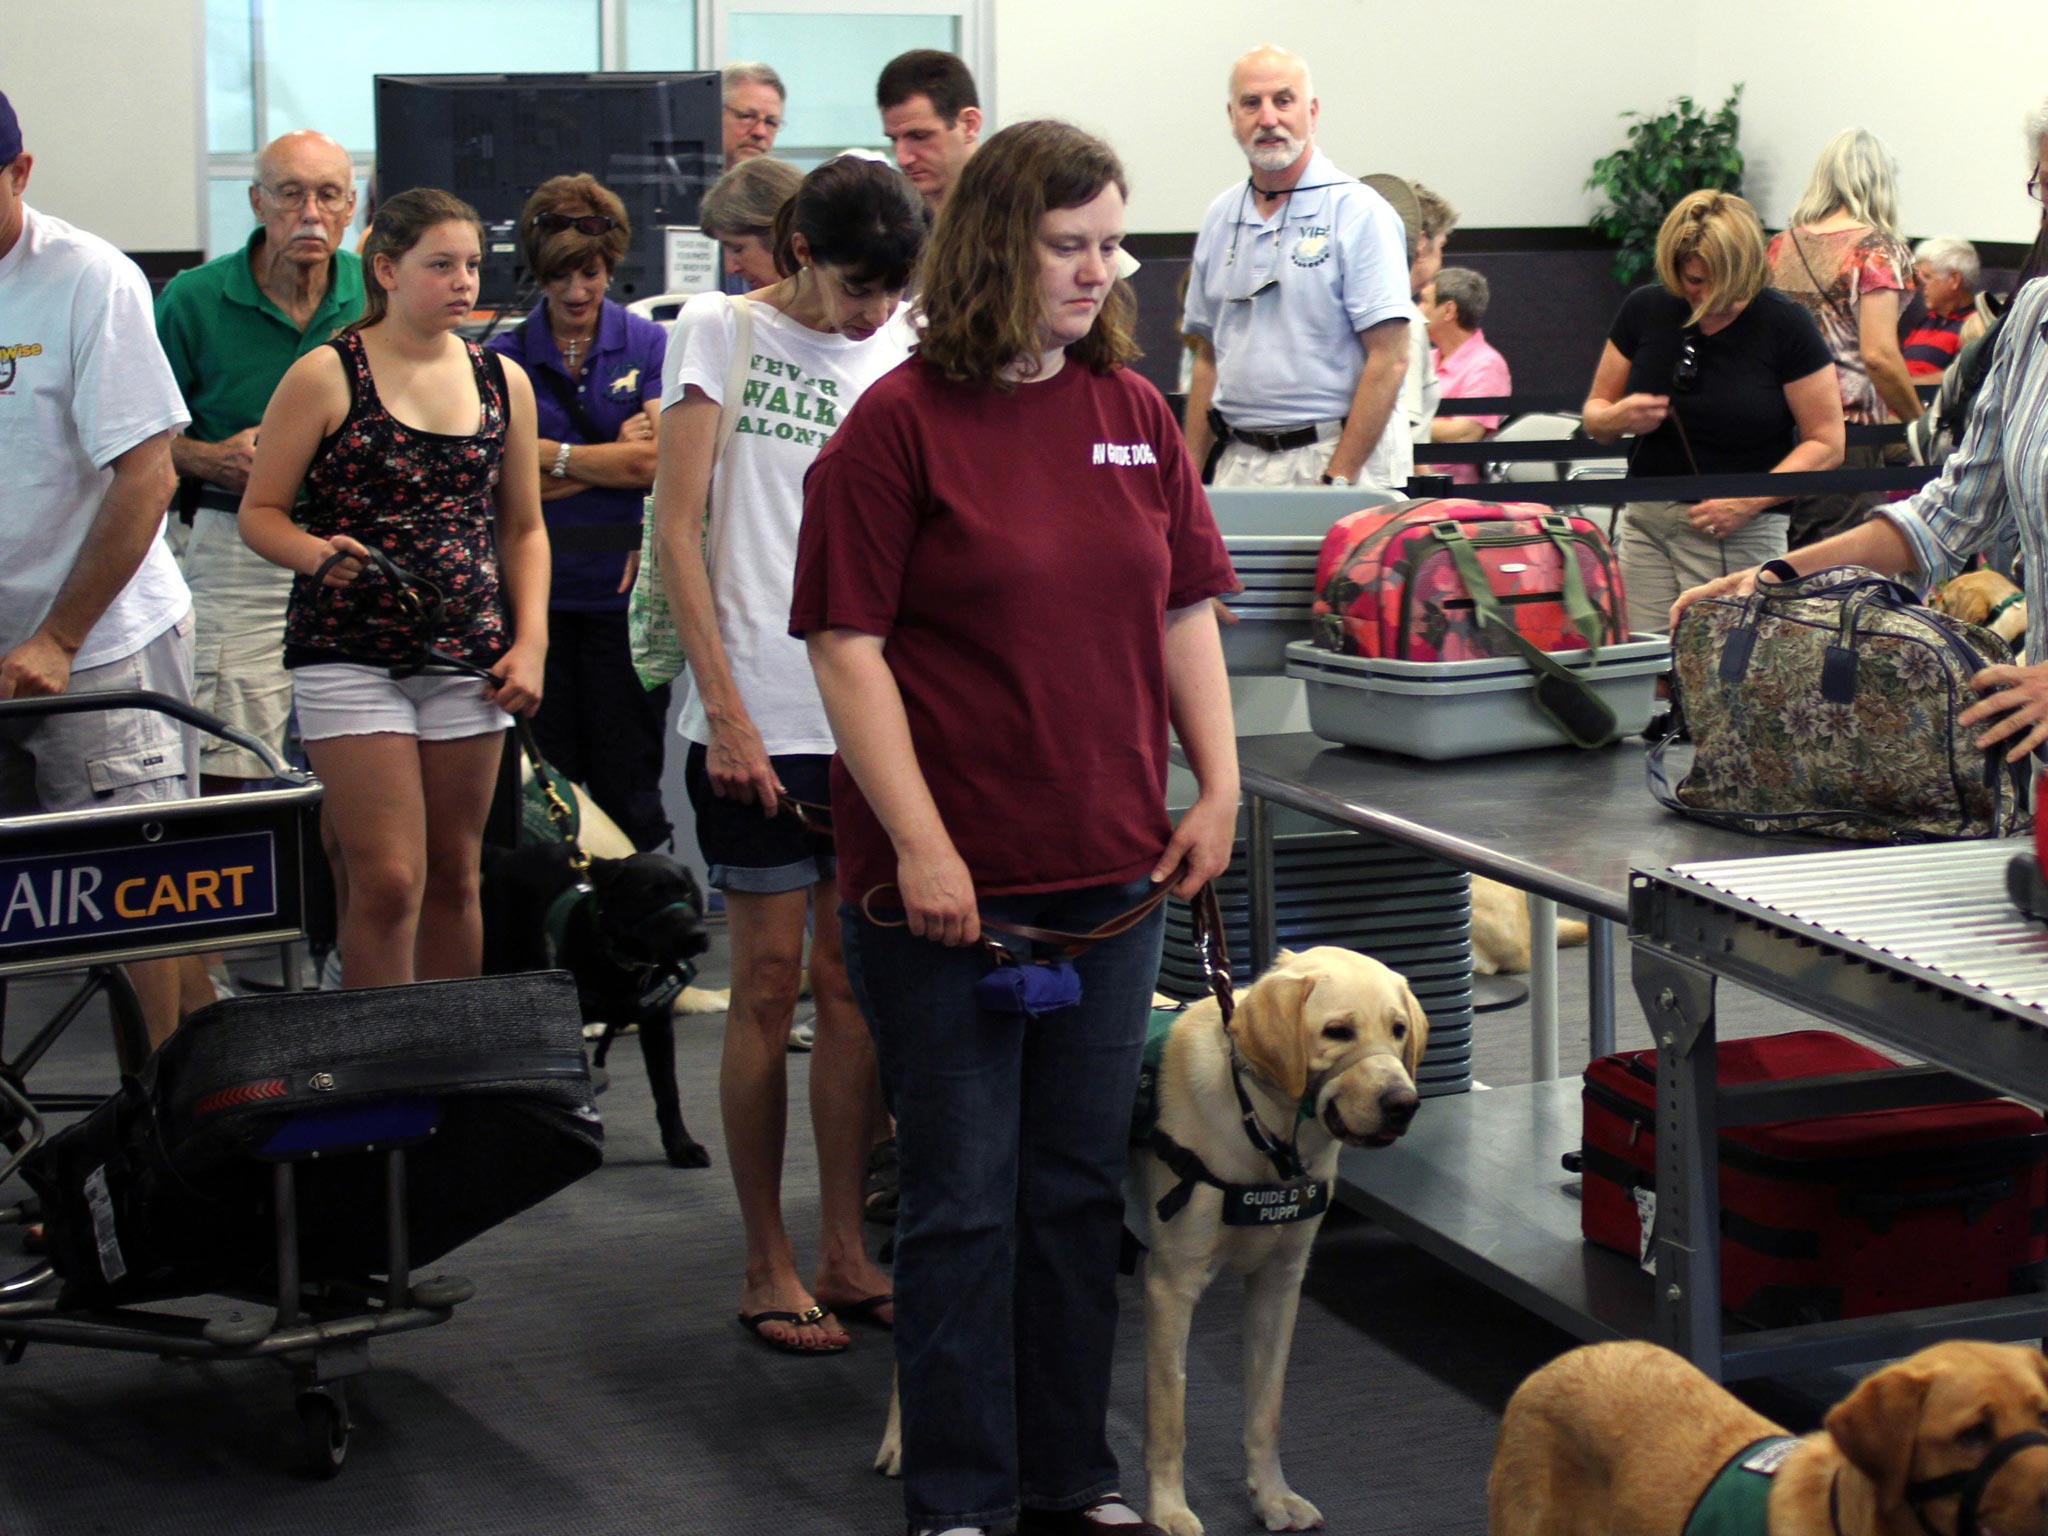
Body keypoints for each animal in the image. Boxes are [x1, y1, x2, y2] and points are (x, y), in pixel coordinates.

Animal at [480, 840, 713, 1168]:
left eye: (688, 892)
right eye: (649, 893)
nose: (698, 935)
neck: (623, 963)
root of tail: (506, 854)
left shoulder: (658, 1027)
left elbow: (667, 1091)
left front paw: (681, 1146)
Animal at [874, 947, 1429, 1535]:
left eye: (1398, 1030)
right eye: (1337, 1031)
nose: (1403, 1103)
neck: (1262, 1128)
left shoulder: (1280, 1283)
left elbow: (1266, 1408)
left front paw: (1272, 1496)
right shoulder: (1172, 1284)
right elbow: (1169, 1416)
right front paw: (1167, 1510)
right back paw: (900, 1442)